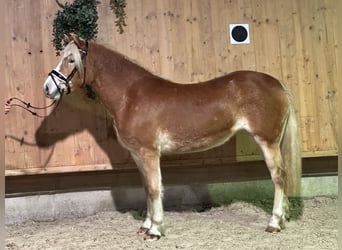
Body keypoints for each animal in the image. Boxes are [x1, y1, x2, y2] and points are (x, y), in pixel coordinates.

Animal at [43, 35, 302, 240]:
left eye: (70, 60)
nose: (47, 88)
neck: (131, 96)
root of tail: (276, 83)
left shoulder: (149, 152)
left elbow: (155, 188)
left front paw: (155, 230)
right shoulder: (138, 154)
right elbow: (147, 187)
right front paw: (146, 225)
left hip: (267, 141)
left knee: (279, 176)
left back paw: (274, 223)